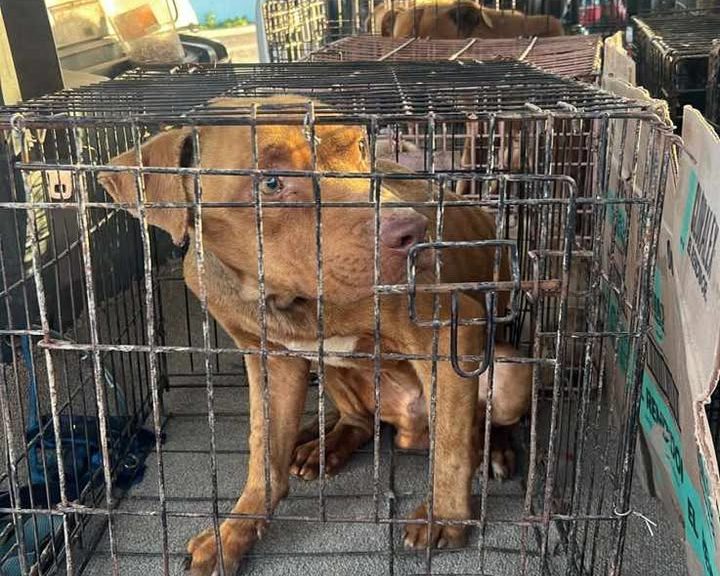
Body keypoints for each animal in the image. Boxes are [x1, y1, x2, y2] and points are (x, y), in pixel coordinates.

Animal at [98, 95, 532, 576]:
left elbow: (452, 446)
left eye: (361, 149)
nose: (413, 230)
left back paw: (494, 453)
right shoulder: (269, 362)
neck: (288, 299)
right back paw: (320, 442)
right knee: (359, 419)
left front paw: (445, 517)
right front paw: (231, 534)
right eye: (271, 182)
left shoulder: (451, 339)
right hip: (331, 374)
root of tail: (407, 429)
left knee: (478, 426)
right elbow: (263, 455)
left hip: (511, 370)